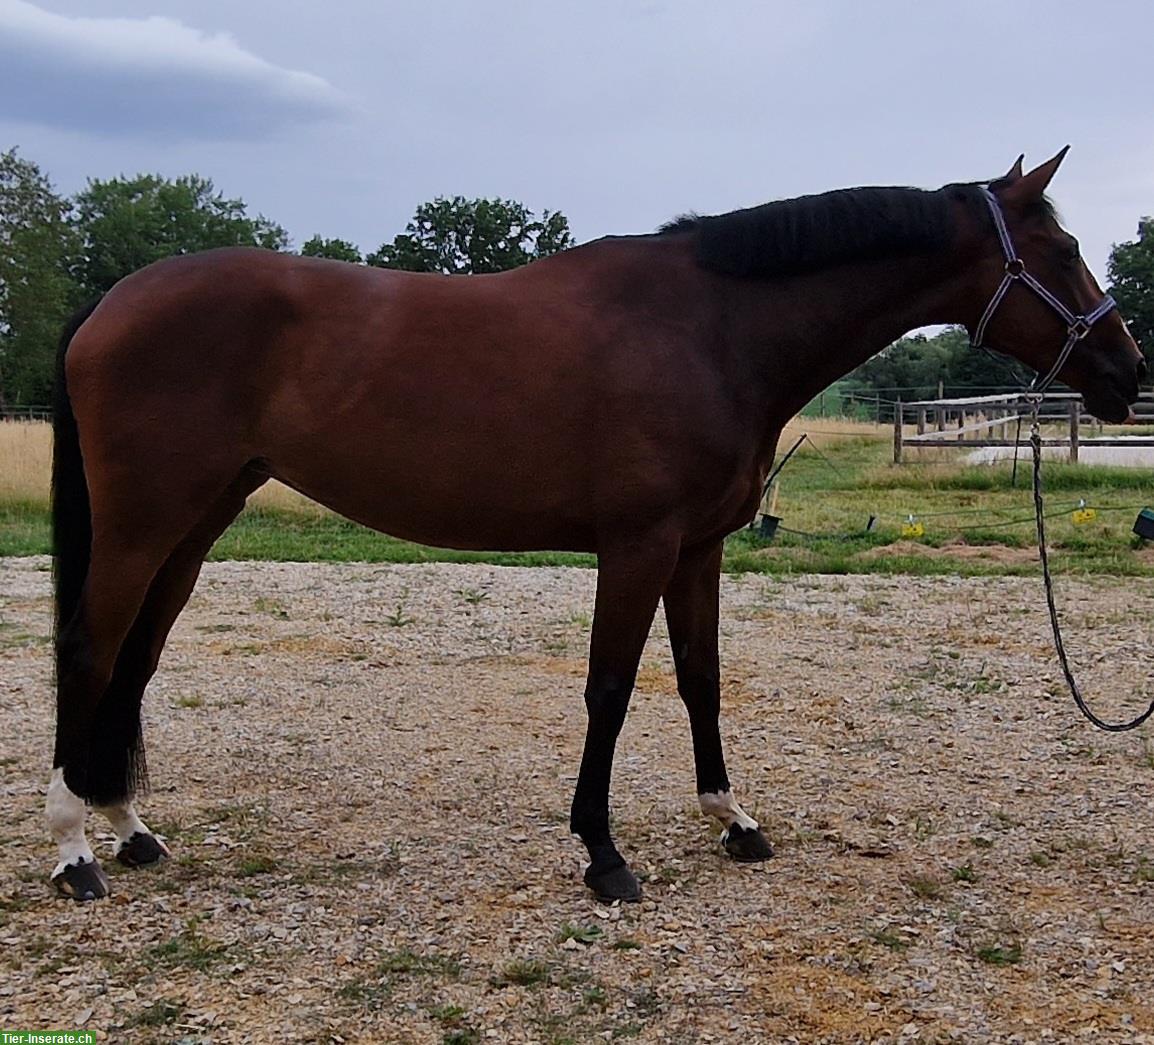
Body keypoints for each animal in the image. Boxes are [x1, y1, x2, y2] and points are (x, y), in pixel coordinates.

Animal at [45, 151, 1144, 899]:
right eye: (1060, 251)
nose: (1126, 373)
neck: (711, 330)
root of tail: (113, 299)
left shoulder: (698, 547)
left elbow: (700, 678)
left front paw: (733, 819)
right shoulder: (638, 544)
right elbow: (610, 691)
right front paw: (603, 853)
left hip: (196, 523)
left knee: (138, 658)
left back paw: (132, 830)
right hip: (144, 523)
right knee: (93, 650)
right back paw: (73, 850)